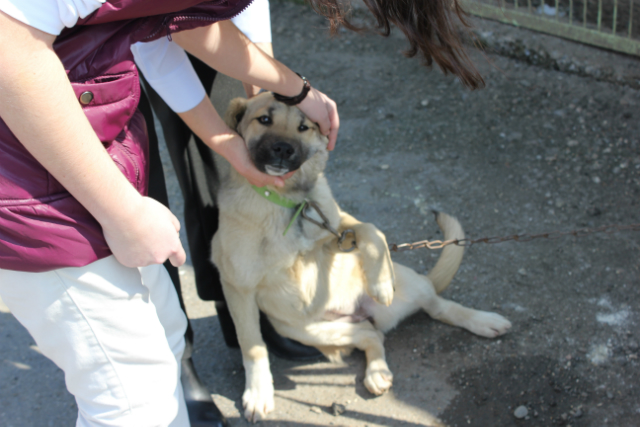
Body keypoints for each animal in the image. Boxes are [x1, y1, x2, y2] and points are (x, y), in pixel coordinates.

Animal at [212, 92, 512, 422]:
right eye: (264, 119)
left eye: (304, 127)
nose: (283, 148)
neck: (289, 203)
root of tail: (360, 312)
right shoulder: (237, 287)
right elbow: (252, 345)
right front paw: (258, 392)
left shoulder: (337, 232)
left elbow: (371, 229)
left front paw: (380, 282)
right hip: (305, 329)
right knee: (372, 334)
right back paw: (377, 372)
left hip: (407, 287)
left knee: (438, 306)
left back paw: (483, 321)